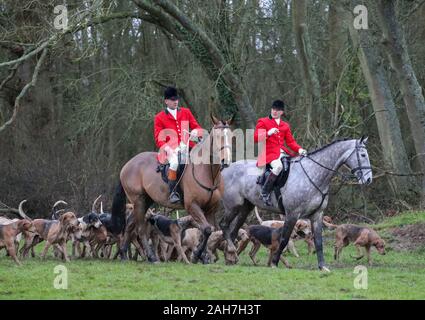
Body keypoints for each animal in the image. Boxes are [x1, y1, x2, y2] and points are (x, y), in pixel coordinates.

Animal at [109, 114, 232, 262]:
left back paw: (123, 254)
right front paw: (197, 255)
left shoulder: (210, 209)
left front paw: (204, 256)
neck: (208, 173)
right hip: (138, 200)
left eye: (231, 135)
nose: (226, 161)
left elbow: (209, 231)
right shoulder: (192, 205)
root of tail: (127, 165)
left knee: (130, 225)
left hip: (145, 201)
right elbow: (207, 229)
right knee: (140, 229)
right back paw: (151, 257)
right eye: (218, 136)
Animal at [219, 136, 372, 272]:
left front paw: (322, 266)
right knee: (224, 225)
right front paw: (274, 263)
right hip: (233, 206)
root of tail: (226, 168)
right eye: (363, 154)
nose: (369, 179)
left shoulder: (317, 215)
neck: (313, 174)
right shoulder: (292, 214)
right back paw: (231, 251)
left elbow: (318, 242)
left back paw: (230, 257)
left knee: (233, 231)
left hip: (245, 207)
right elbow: (284, 239)